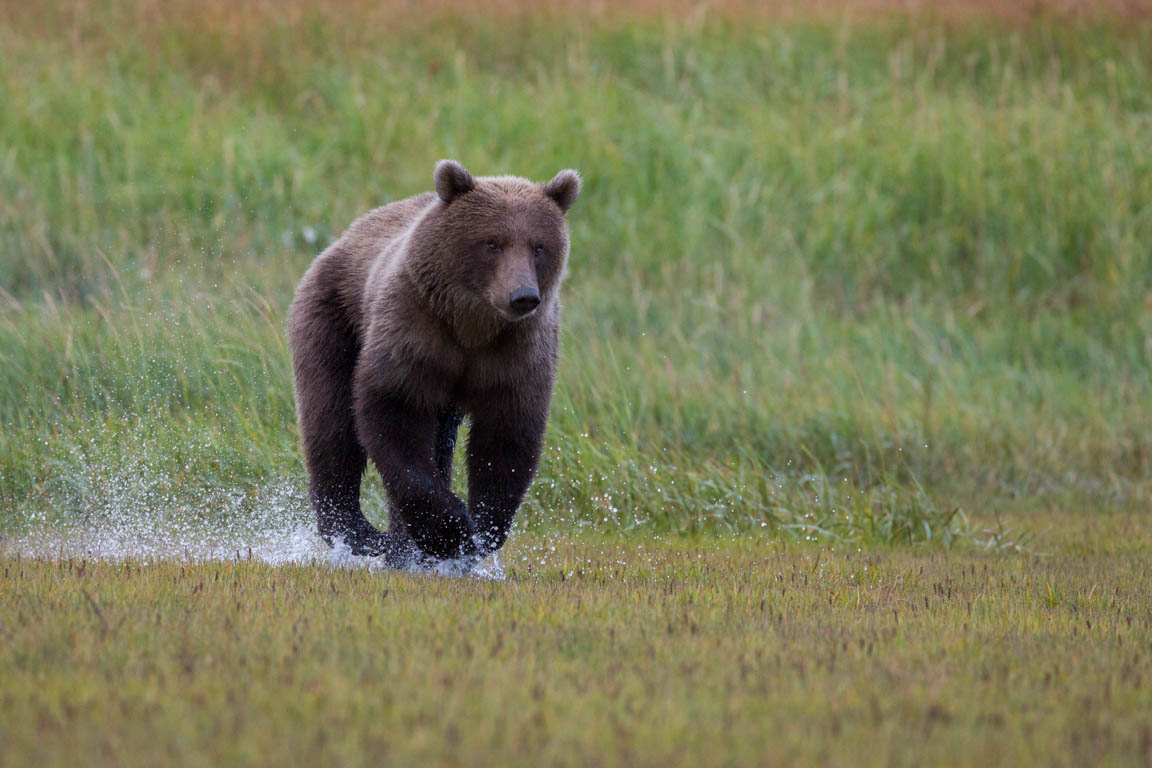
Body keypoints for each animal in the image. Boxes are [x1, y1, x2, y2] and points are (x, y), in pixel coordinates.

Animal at [288, 158, 576, 568]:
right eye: (492, 243)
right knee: (331, 421)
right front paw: (450, 531)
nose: (522, 296)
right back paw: (360, 531)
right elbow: (393, 412)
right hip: (333, 318)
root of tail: (343, 238)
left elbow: (506, 437)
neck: (471, 328)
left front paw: (478, 532)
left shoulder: (516, 354)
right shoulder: (415, 332)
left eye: (539, 246)